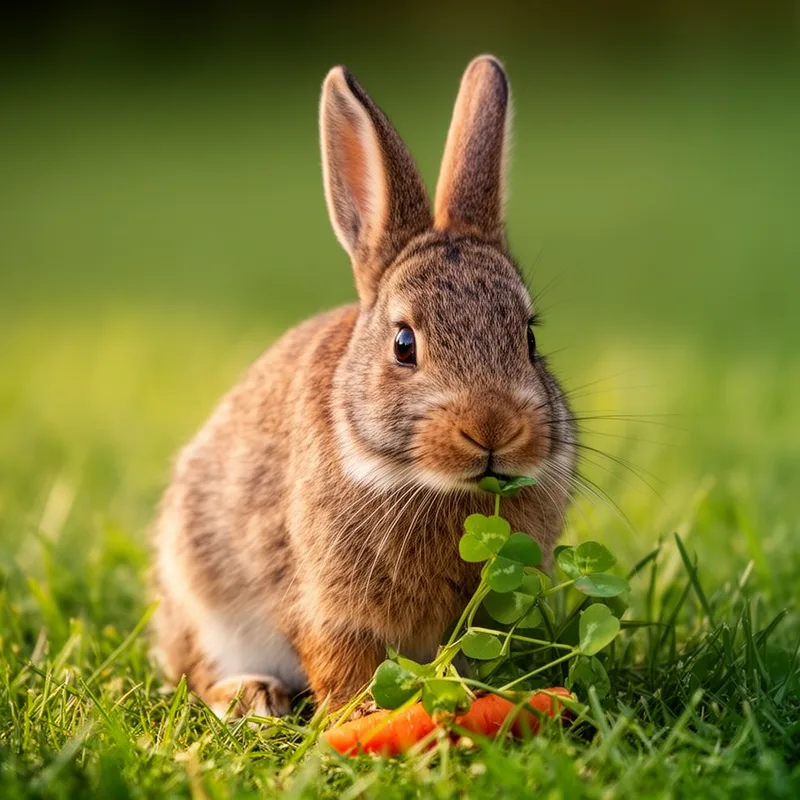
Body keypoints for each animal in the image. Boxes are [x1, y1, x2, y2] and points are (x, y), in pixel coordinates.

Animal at [151, 55, 577, 719]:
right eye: (404, 344)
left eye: (529, 338)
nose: (493, 429)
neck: (432, 485)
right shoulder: (323, 602)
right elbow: (342, 662)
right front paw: (363, 715)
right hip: (199, 588)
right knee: (194, 668)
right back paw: (251, 697)